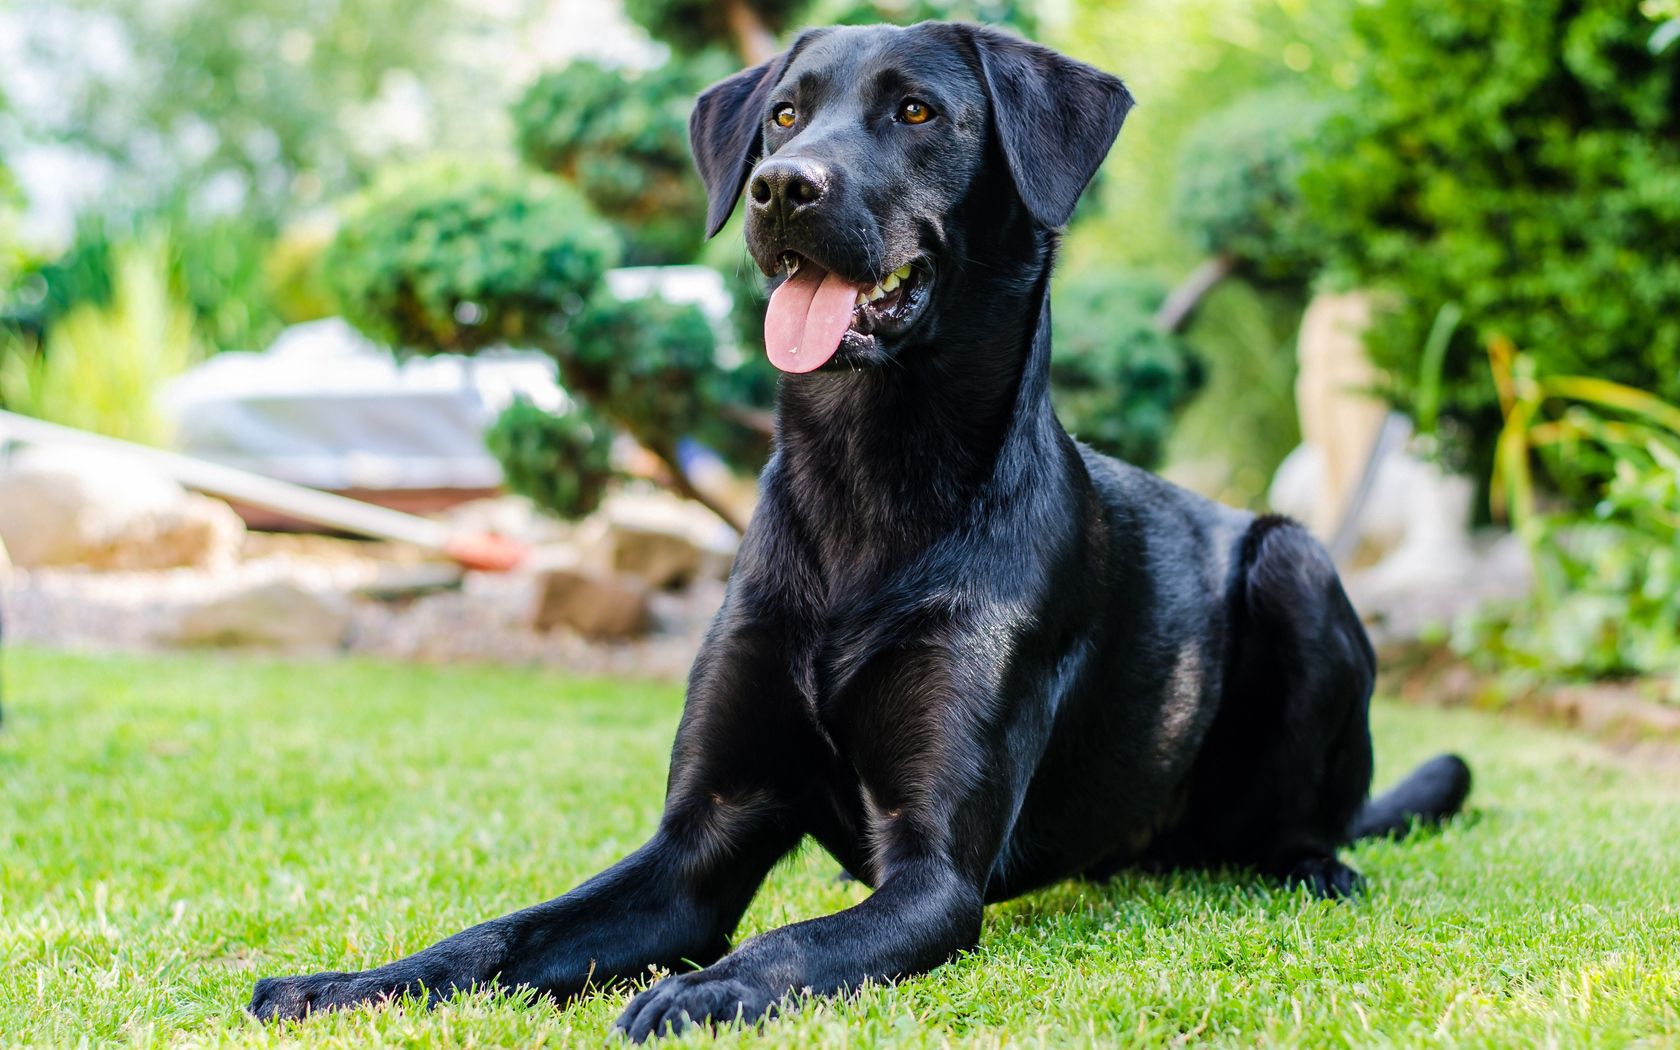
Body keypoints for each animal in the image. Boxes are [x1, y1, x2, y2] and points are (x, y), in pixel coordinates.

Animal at [248, 24, 1471, 1041]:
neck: (866, 486)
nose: (782, 189)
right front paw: (350, 984)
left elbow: (793, 944)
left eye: (918, 112)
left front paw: (704, 993)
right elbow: (502, 931)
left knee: (1313, 814)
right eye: (785, 114)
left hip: (1295, 562)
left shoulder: (933, 875)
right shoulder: (696, 846)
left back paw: (1311, 865)